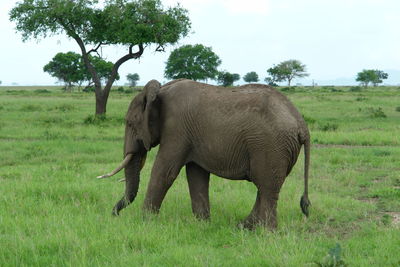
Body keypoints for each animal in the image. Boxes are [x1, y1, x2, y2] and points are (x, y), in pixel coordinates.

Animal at [98, 79, 310, 230]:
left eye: (130, 123)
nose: (114, 215)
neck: (160, 91)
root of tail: (302, 124)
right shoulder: (190, 135)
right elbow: (196, 175)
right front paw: (203, 224)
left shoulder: (176, 129)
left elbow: (164, 171)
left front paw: (145, 221)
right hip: (277, 148)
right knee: (265, 186)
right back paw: (243, 227)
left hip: (271, 145)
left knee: (267, 186)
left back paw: (265, 232)